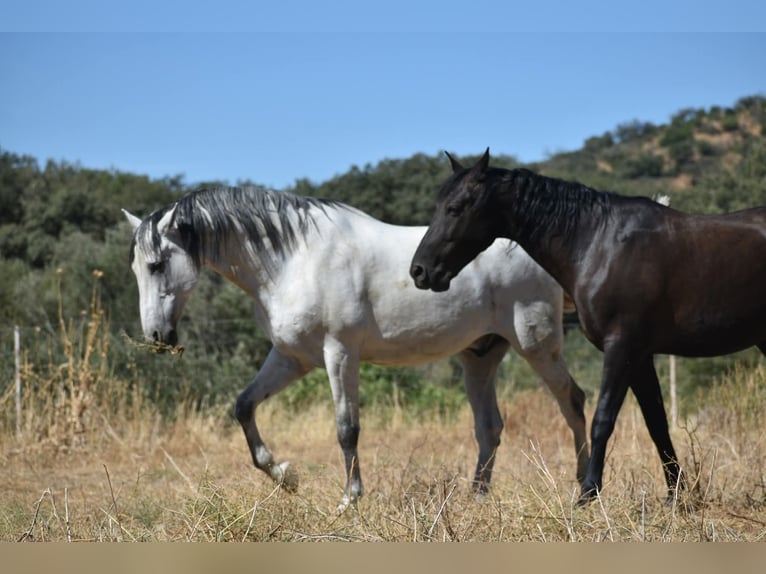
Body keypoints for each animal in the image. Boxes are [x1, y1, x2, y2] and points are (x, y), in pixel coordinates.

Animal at [123, 184, 589, 510]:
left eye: (157, 265)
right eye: (136, 269)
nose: (157, 337)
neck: (295, 260)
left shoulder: (340, 353)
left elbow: (347, 428)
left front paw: (349, 500)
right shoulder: (292, 359)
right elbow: (244, 407)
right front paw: (286, 476)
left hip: (536, 344)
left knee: (574, 402)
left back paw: (585, 492)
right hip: (480, 356)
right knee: (489, 427)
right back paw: (476, 499)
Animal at [410, 148, 766, 505]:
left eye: (455, 208)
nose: (420, 271)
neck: (599, 244)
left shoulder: (622, 347)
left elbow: (603, 419)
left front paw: (588, 493)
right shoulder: (640, 356)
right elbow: (657, 423)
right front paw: (675, 495)